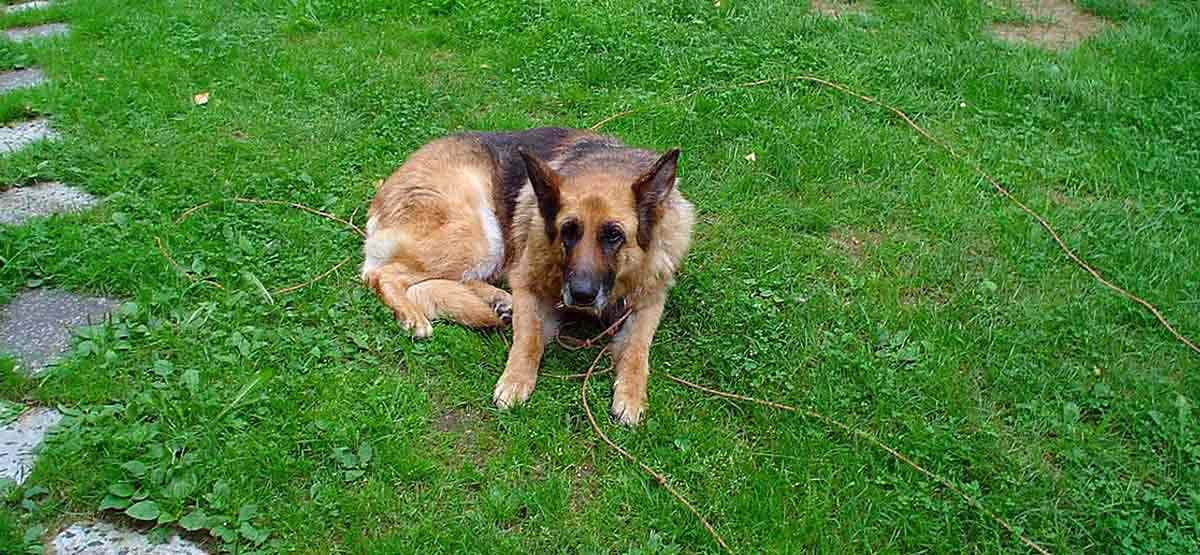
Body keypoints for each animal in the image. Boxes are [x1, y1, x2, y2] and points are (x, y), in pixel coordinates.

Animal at [360, 127, 691, 425]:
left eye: (613, 235)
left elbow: (637, 351)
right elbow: (528, 337)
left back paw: (498, 301)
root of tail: (384, 191)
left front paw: (631, 397)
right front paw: (515, 380)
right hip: (480, 237)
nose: (581, 295)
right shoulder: (526, 283)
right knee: (380, 274)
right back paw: (412, 315)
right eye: (567, 231)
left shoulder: (650, 301)